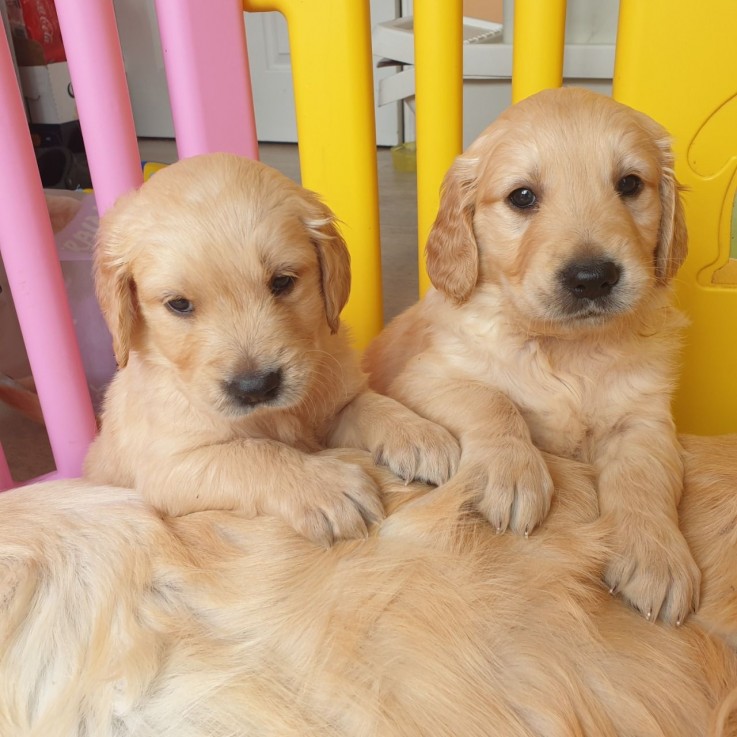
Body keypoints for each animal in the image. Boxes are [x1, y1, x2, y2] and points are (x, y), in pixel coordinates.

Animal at [83, 154, 458, 548]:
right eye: (179, 305)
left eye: (282, 282)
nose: (255, 387)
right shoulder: (170, 466)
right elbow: (255, 453)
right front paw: (325, 487)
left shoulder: (334, 402)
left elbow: (369, 403)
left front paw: (418, 433)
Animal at [366, 87, 700, 628]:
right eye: (522, 197)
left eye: (630, 184)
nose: (592, 278)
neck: (564, 348)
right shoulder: (423, 375)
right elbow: (491, 401)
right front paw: (512, 473)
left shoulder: (644, 418)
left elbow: (645, 476)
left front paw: (657, 555)